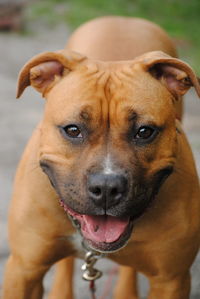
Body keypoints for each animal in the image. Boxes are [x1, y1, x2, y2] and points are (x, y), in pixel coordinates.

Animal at [2, 16, 200, 299]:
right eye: (73, 130)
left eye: (144, 132)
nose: (107, 188)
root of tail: (122, 18)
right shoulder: (23, 270)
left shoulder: (171, 280)